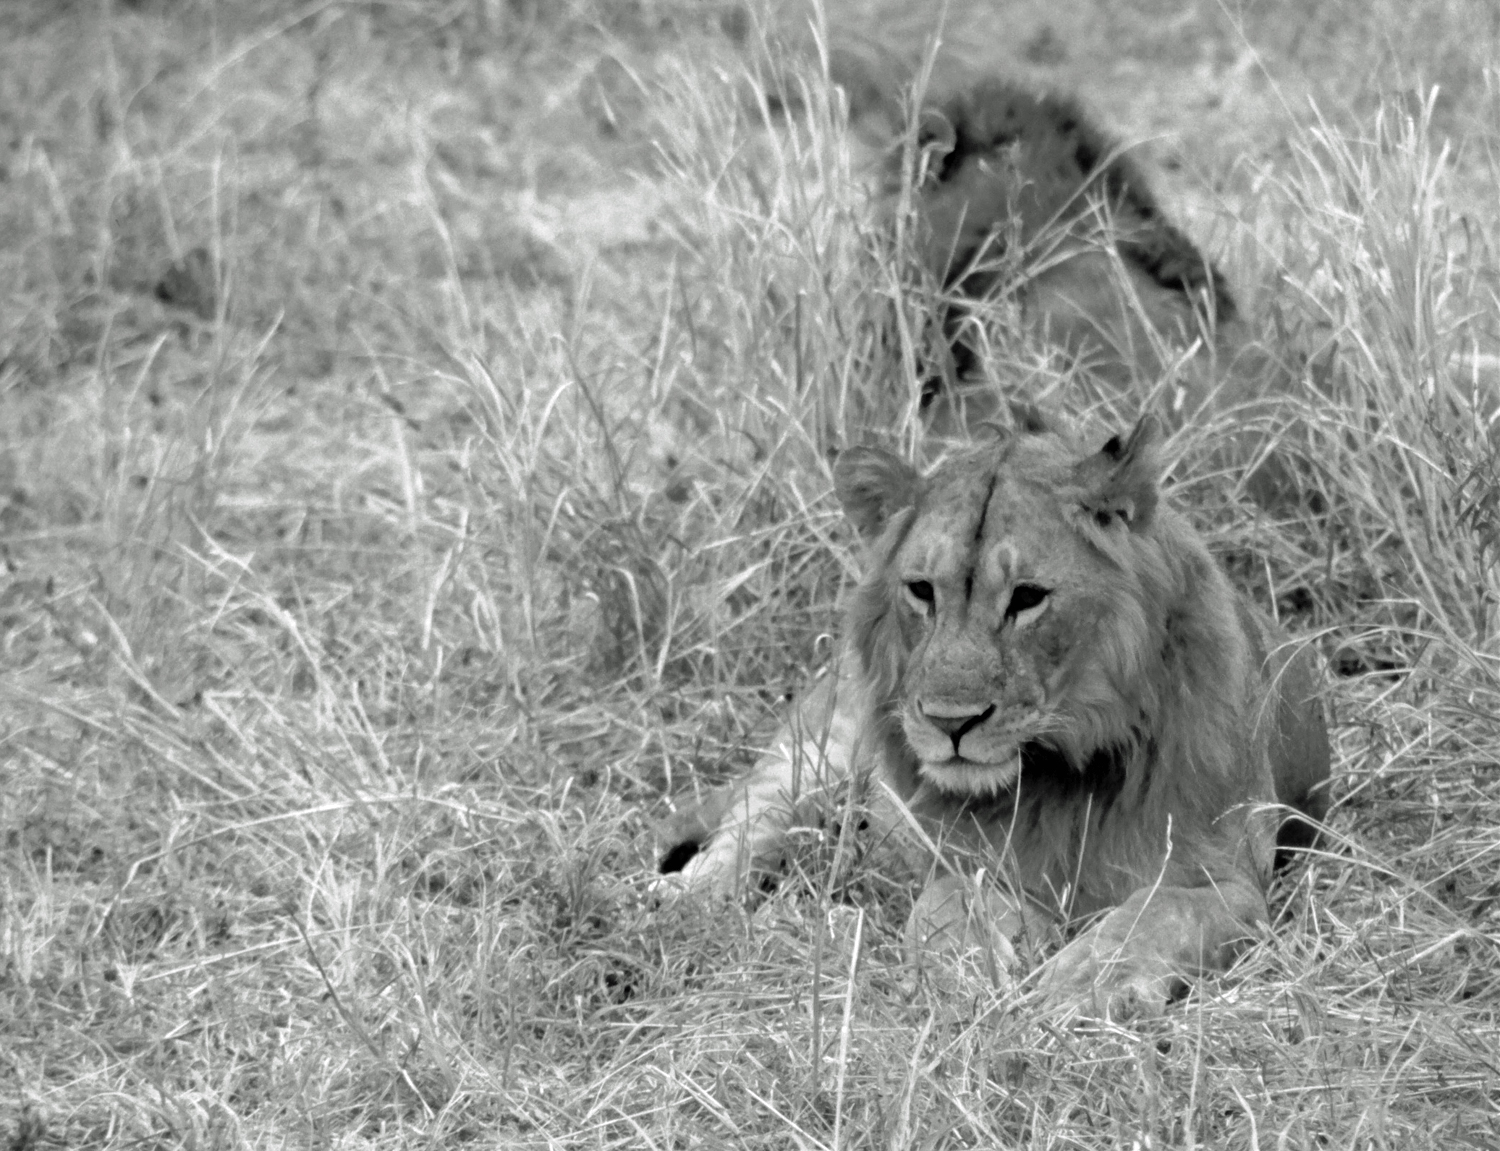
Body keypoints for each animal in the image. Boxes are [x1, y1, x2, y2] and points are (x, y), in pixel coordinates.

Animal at [657, 408, 1326, 1020]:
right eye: (921, 590)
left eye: (1028, 598)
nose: (950, 722)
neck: (1064, 773)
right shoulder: (968, 861)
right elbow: (945, 897)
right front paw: (968, 968)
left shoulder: (1232, 883)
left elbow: (1160, 911)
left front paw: (1083, 983)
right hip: (817, 753)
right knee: (749, 824)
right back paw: (681, 900)